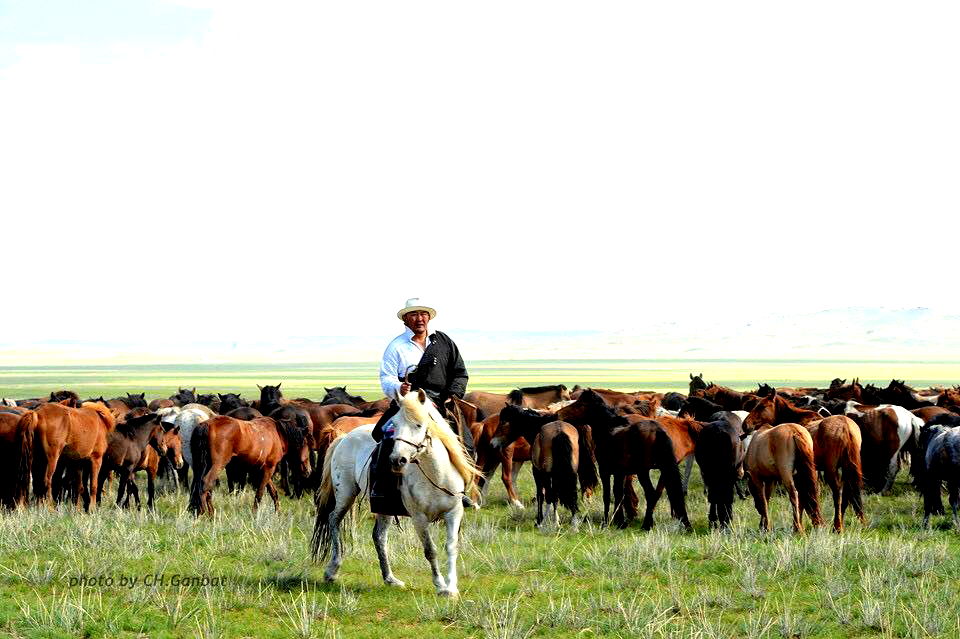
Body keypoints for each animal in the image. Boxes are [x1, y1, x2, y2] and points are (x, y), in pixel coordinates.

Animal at [312, 390, 480, 600]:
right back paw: (332, 569)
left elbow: (451, 546)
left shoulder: (454, 513)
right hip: (345, 494)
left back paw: (390, 578)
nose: (397, 460)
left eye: (419, 425)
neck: (436, 475)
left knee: (379, 536)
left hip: (384, 506)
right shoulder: (419, 518)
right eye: (395, 425)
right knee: (334, 519)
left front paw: (452, 587)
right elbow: (430, 550)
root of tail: (344, 437)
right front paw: (440, 585)